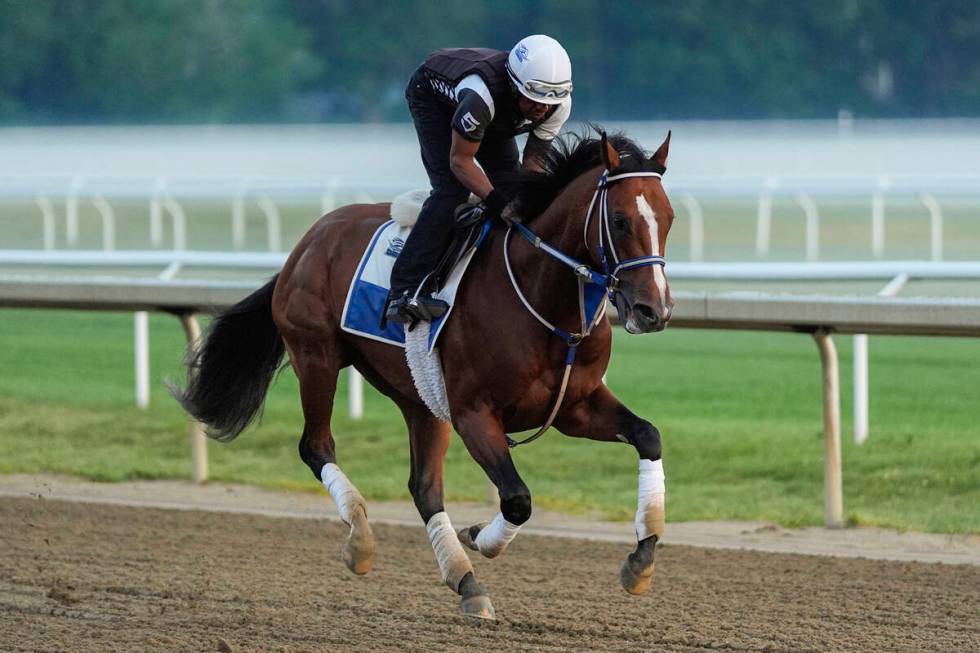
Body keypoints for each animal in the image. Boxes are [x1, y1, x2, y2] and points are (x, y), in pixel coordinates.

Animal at [176, 130, 672, 620]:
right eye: (621, 220)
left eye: (668, 218)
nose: (654, 310)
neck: (544, 300)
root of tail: (307, 242)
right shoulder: (474, 413)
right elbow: (517, 499)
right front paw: (480, 536)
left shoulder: (574, 406)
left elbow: (647, 435)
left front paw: (641, 559)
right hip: (316, 356)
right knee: (316, 446)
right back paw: (360, 539)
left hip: (418, 396)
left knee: (424, 488)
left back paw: (465, 580)